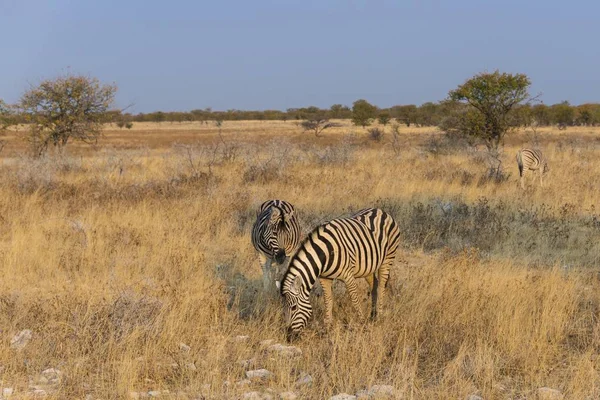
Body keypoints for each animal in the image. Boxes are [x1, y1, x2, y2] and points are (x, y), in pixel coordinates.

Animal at [278, 206, 400, 340]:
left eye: (294, 307)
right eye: (283, 308)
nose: (289, 337)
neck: (325, 253)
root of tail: (379, 210)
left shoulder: (348, 276)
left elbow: (355, 300)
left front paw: (362, 323)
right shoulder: (324, 278)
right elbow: (328, 300)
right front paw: (327, 327)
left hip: (387, 259)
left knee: (381, 286)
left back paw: (379, 316)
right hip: (368, 266)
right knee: (375, 285)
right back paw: (373, 315)